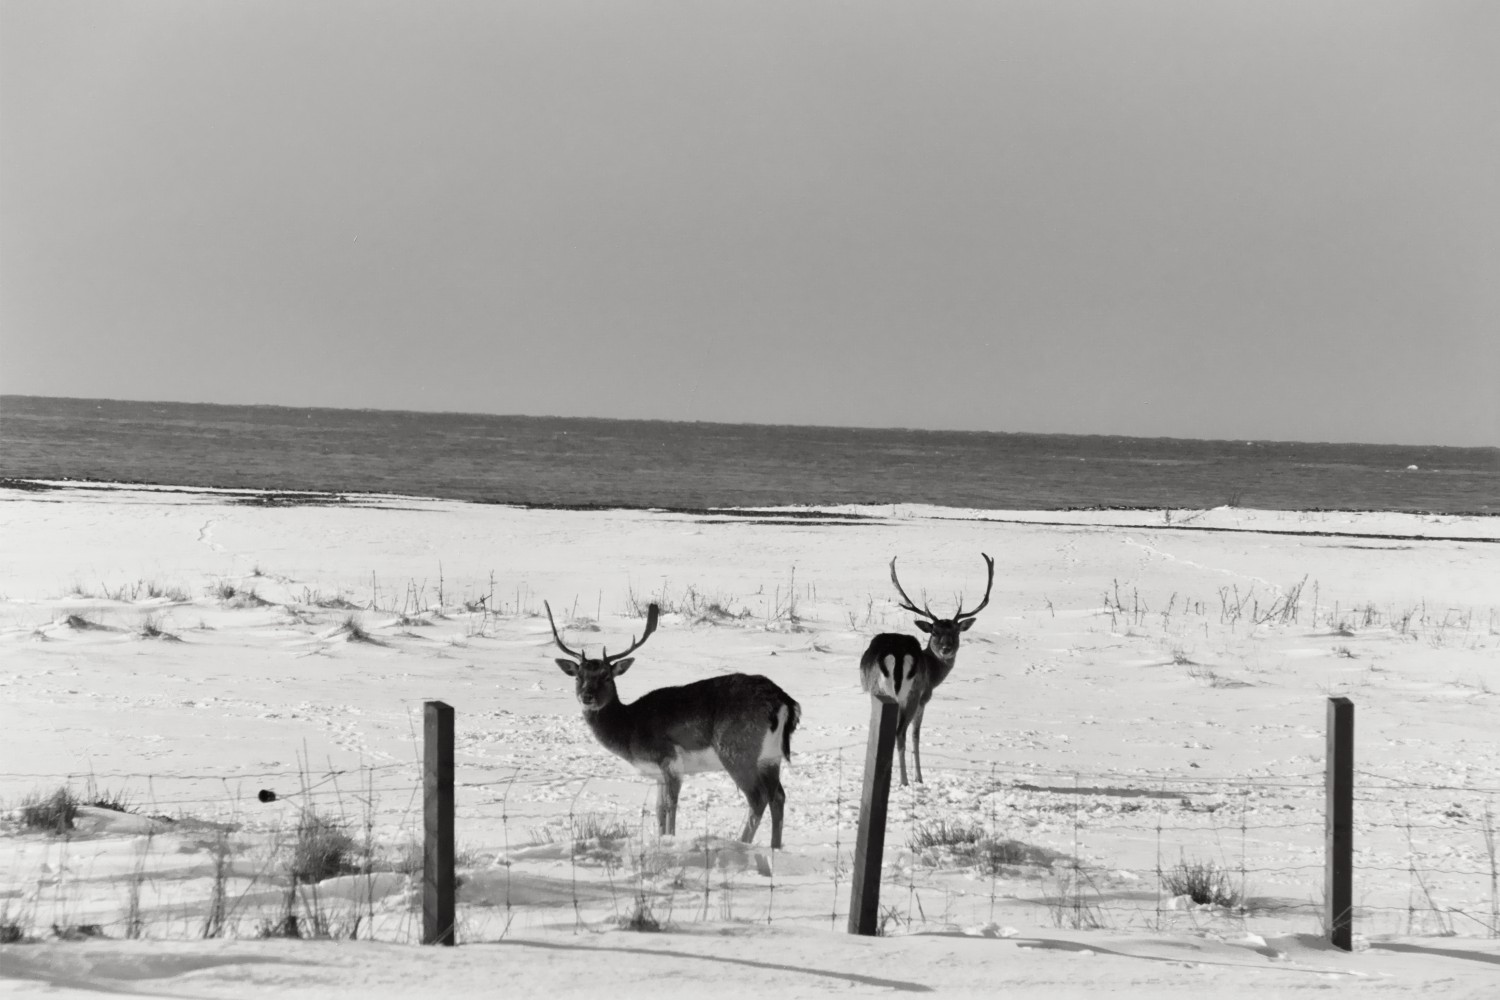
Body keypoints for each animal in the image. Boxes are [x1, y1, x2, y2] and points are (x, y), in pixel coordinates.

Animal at [545, 601, 801, 849]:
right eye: (578, 677)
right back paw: (775, 847)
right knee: (778, 796)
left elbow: (671, 805)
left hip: (737, 749)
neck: (630, 729)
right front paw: (662, 839)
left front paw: (671, 840)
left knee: (758, 798)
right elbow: (659, 809)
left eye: (607, 676)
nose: (587, 696)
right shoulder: (658, 773)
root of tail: (783, 700)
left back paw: (741, 844)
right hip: (770, 757)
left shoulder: (669, 759)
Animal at [859, 552, 995, 786]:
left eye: (956, 632)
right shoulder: (924, 697)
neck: (933, 673)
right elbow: (916, 734)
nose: (946, 649)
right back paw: (904, 781)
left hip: (877, 691)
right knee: (901, 733)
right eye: (934, 632)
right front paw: (919, 778)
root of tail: (894, 654)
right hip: (910, 694)